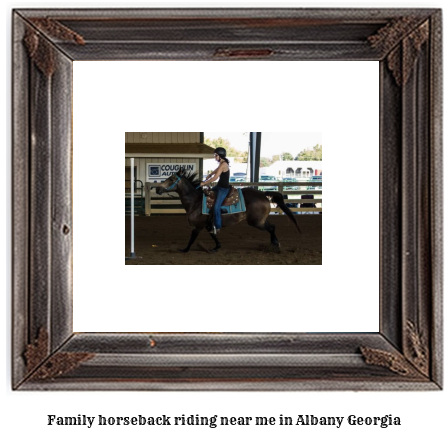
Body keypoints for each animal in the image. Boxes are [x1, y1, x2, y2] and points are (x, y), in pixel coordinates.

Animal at [153, 169, 300, 255]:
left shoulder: (198, 226)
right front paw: (216, 247)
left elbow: (192, 238)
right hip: (260, 220)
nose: (157, 189)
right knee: (271, 227)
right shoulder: (208, 224)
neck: (196, 201)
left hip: (256, 222)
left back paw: (276, 245)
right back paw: (274, 244)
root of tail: (263, 194)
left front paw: (184, 250)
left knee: (272, 228)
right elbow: (213, 234)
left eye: (172, 179)